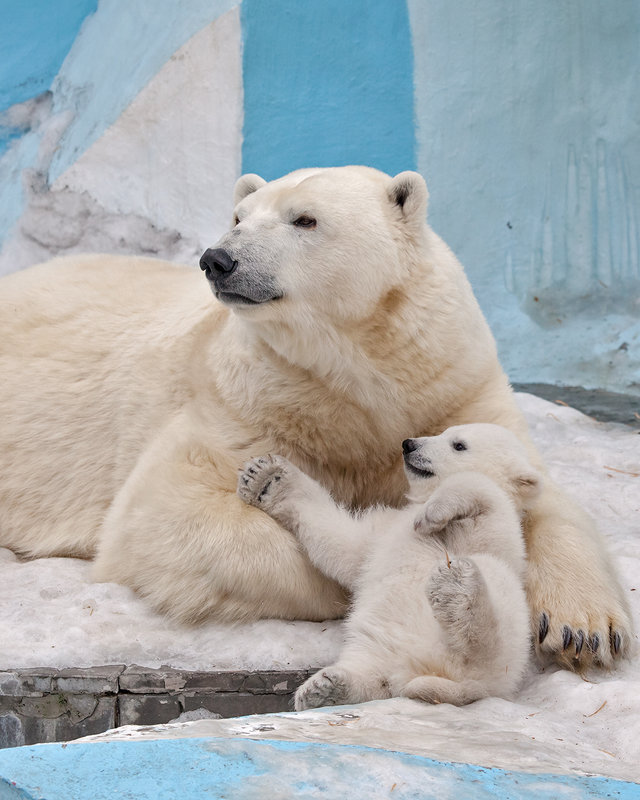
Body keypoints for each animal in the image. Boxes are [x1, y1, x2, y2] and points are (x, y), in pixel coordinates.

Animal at [0, 166, 632, 664]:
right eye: (238, 216)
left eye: (304, 220)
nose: (217, 258)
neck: (358, 378)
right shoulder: (246, 401)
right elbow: (163, 513)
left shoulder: (454, 385)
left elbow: (541, 494)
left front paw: (583, 627)